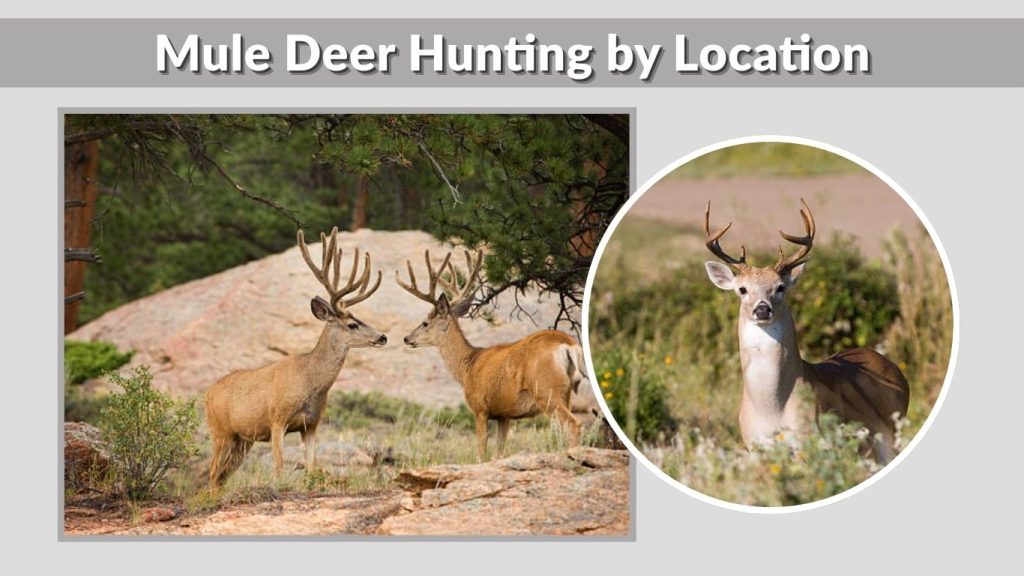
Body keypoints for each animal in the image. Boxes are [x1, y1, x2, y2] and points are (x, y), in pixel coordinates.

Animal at [204, 227, 387, 488]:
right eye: (352, 325)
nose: (383, 337)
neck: (308, 382)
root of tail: (207, 394)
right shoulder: (277, 419)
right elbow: (278, 468)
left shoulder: (311, 424)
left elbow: (311, 467)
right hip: (220, 430)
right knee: (212, 473)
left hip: (242, 440)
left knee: (222, 476)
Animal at [395, 249, 585, 462]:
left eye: (425, 323)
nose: (407, 338)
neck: (467, 366)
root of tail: (568, 346)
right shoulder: (504, 414)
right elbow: (498, 454)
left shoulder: (480, 408)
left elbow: (481, 454)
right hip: (567, 393)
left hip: (546, 390)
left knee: (574, 424)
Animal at [702, 199, 910, 463]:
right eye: (742, 289)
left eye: (780, 287)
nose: (762, 309)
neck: (772, 409)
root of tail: (894, 369)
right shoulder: (753, 448)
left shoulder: (809, 442)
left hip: (891, 437)